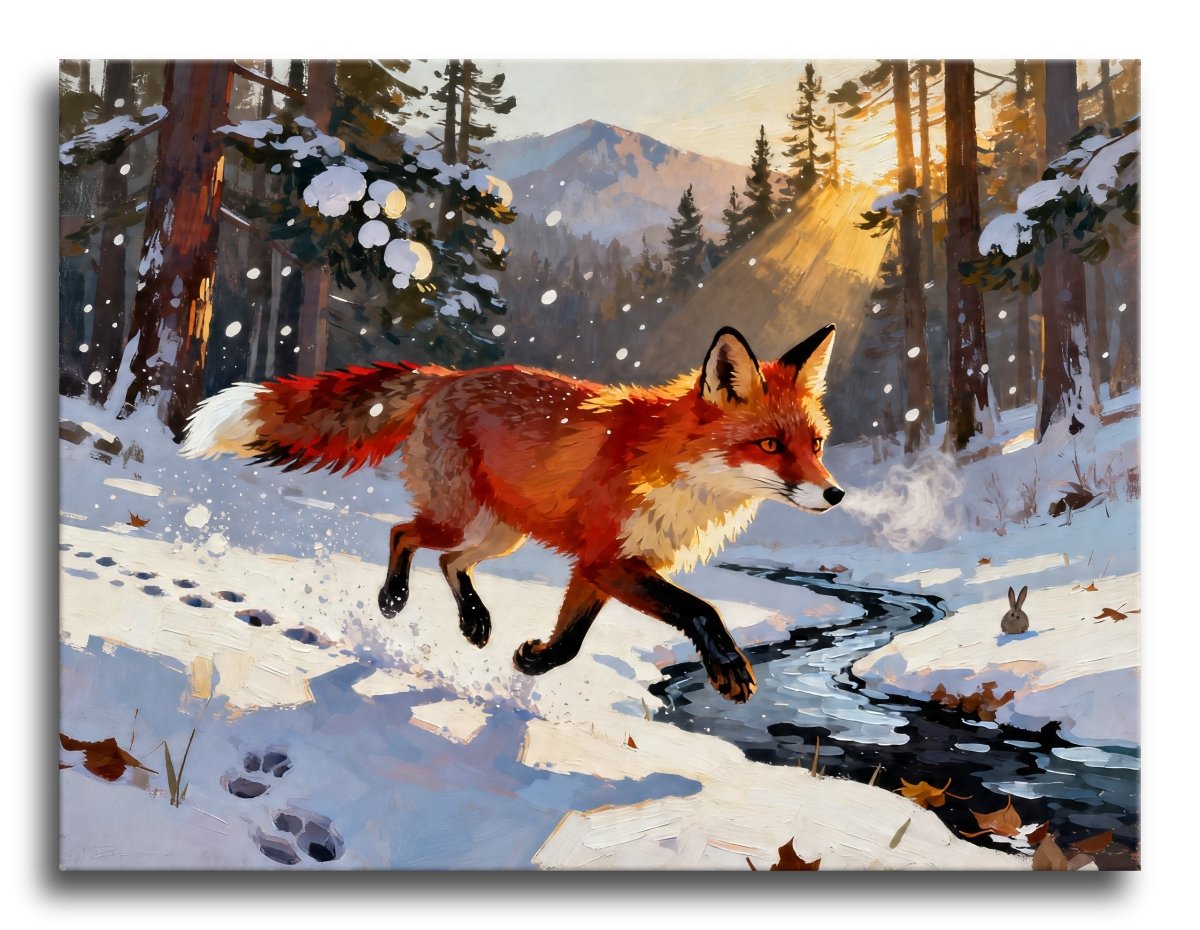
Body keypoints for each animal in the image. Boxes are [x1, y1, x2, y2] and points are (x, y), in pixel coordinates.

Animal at [180, 324, 843, 703]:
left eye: (815, 445)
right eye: (769, 445)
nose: (835, 495)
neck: (679, 473)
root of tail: (446, 377)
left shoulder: (599, 567)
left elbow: (571, 643)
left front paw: (532, 660)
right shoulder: (608, 558)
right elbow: (700, 608)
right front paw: (729, 667)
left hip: (502, 535)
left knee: (450, 562)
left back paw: (474, 620)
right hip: (460, 517)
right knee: (402, 533)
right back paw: (393, 598)